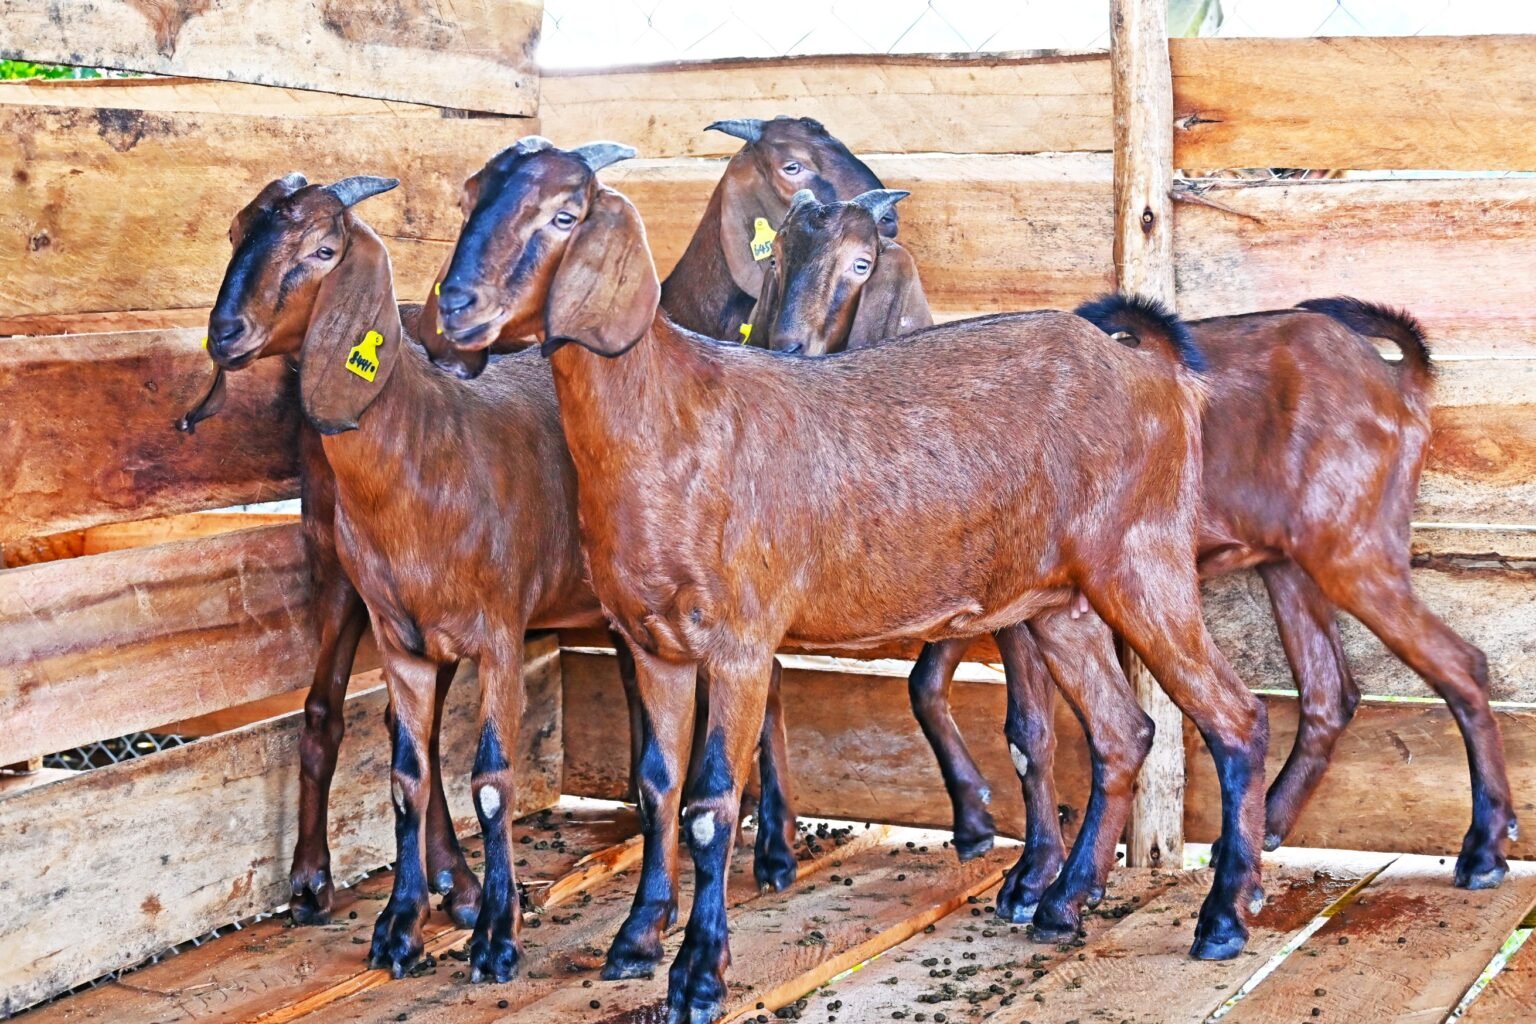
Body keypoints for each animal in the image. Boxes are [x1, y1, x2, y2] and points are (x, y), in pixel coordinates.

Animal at [200, 161, 634, 983]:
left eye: (325, 248)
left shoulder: (499, 630)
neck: (431, 440)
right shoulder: (399, 630)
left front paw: (498, 933)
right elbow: (406, 774)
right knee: (338, 716)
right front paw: (403, 923)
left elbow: (492, 778)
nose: (224, 332)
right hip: (351, 587)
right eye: (237, 230)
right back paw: (362, 882)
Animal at [432, 140, 1268, 1023]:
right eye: (470, 198)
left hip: (1143, 562)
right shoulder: (653, 640)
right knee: (1122, 732)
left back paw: (1222, 918)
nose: (456, 304)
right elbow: (657, 788)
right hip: (1060, 603)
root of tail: (1159, 378)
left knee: (1236, 719)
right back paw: (1063, 903)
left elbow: (710, 805)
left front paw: (698, 976)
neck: (671, 418)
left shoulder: (740, 639)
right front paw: (634, 940)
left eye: (565, 213)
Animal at [754, 189, 1515, 910]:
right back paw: (1257, 843)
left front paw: (1032, 877)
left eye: (861, 262)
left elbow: (1028, 731)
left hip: (1354, 544)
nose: (787, 346)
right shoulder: (977, 601)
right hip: (1288, 563)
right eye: (779, 255)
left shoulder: (1014, 604)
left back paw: (1482, 850)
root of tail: (1398, 383)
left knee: (1459, 663)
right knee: (1330, 692)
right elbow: (938, 691)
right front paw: (993, 839)